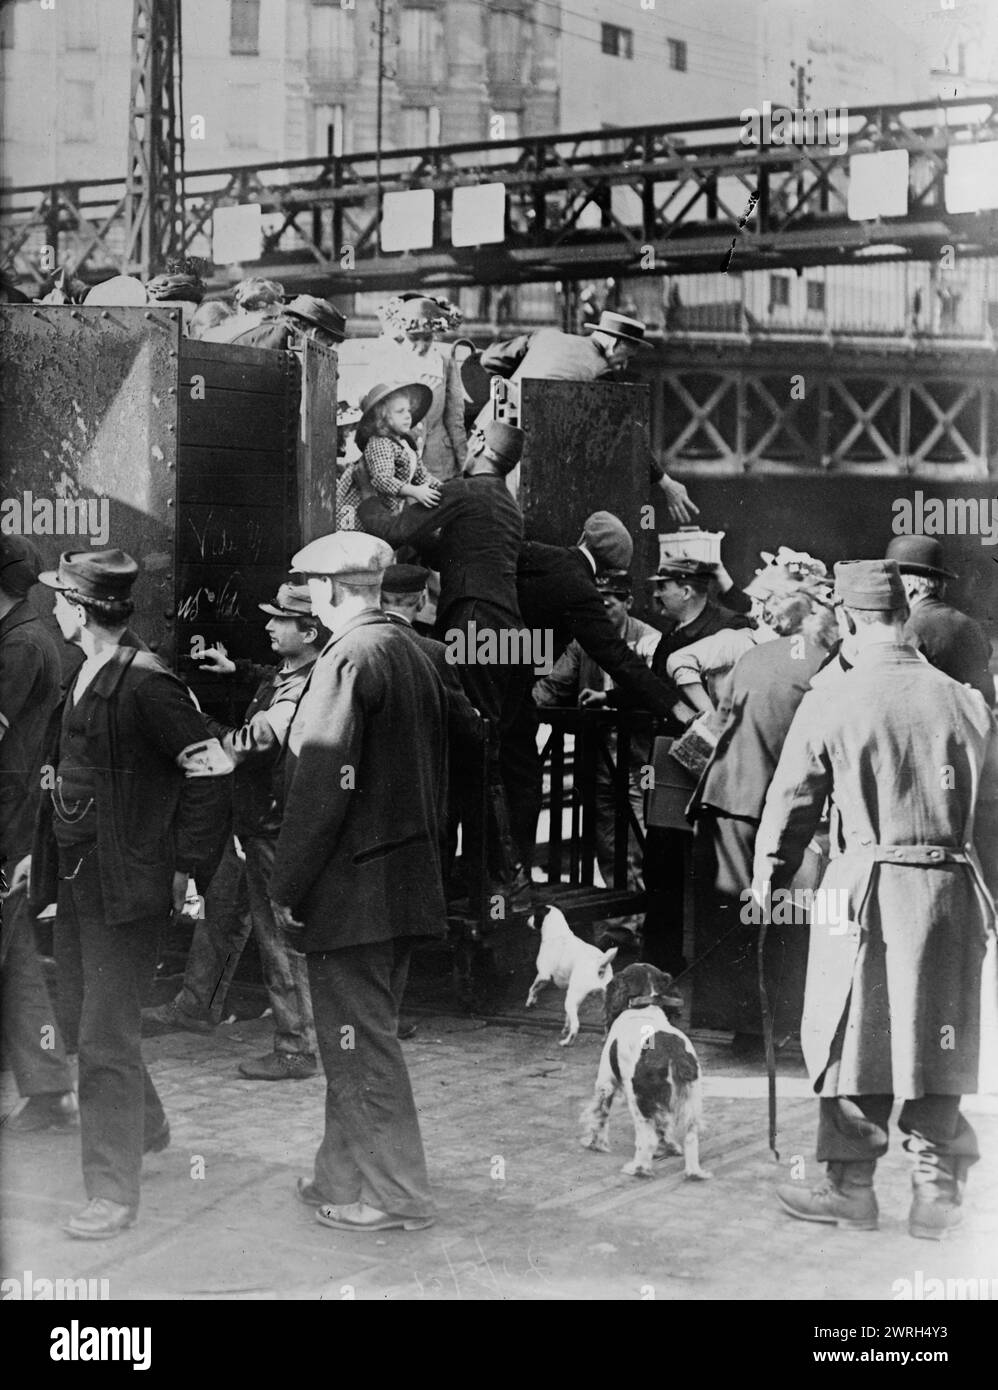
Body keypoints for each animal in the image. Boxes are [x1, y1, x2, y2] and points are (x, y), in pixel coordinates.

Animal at [522, 906, 617, 1045]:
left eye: (534, 914)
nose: (527, 921)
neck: (558, 934)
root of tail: (600, 964)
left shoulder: (544, 975)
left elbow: (532, 988)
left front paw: (529, 1001)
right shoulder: (548, 980)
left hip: (571, 1000)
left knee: (576, 1025)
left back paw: (566, 1042)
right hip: (604, 1002)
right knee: (608, 1022)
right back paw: (605, 1039)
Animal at [578, 967, 711, 1184]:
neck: (644, 1007)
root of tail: (673, 1052)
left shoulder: (606, 1082)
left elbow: (599, 1115)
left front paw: (594, 1143)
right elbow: (664, 1127)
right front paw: (669, 1148)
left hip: (638, 1099)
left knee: (647, 1138)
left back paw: (638, 1168)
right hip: (691, 1099)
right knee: (691, 1138)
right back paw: (694, 1172)